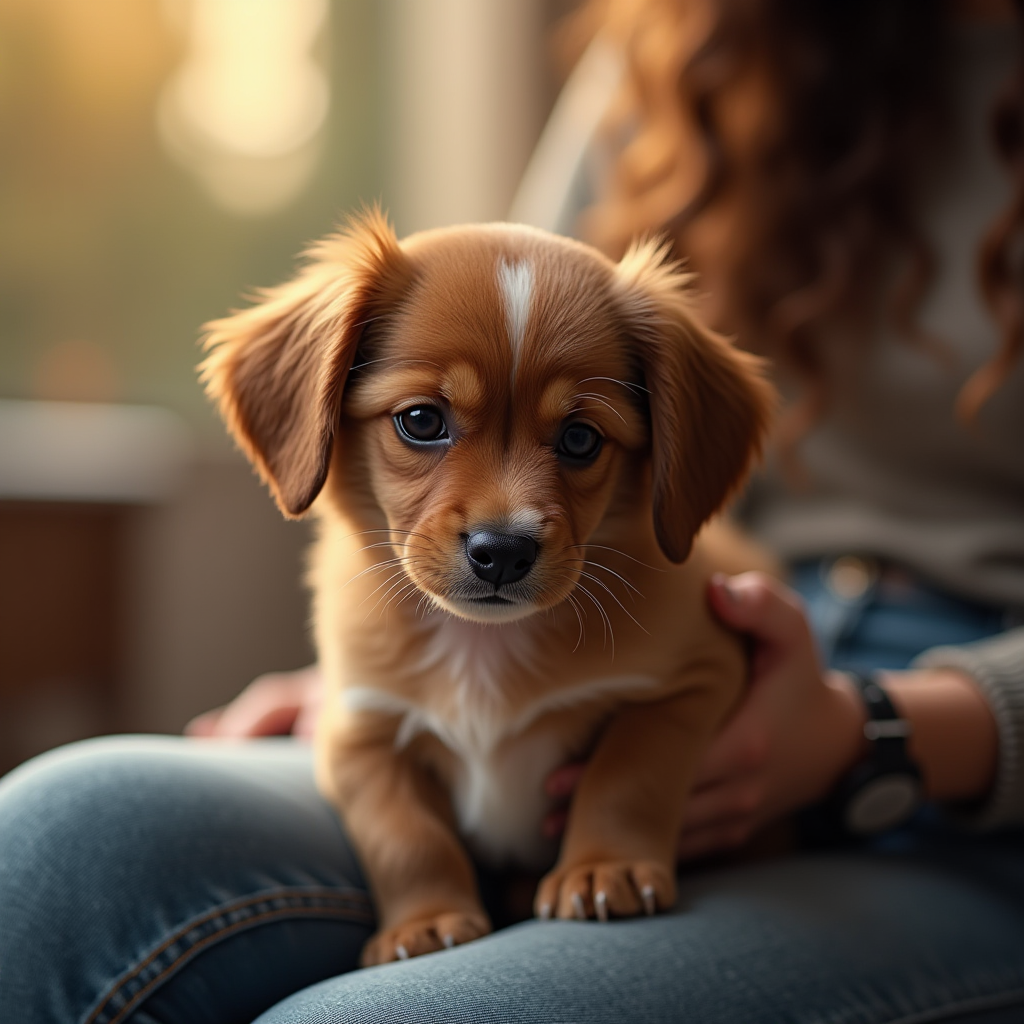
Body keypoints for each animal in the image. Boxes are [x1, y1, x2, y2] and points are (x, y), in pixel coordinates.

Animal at [201, 209, 774, 966]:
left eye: (582, 438)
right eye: (421, 420)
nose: (502, 552)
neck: (481, 648)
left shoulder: (696, 678)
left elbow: (627, 772)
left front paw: (604, 869)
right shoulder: (357, 728)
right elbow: (404, 835)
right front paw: (427, 922)